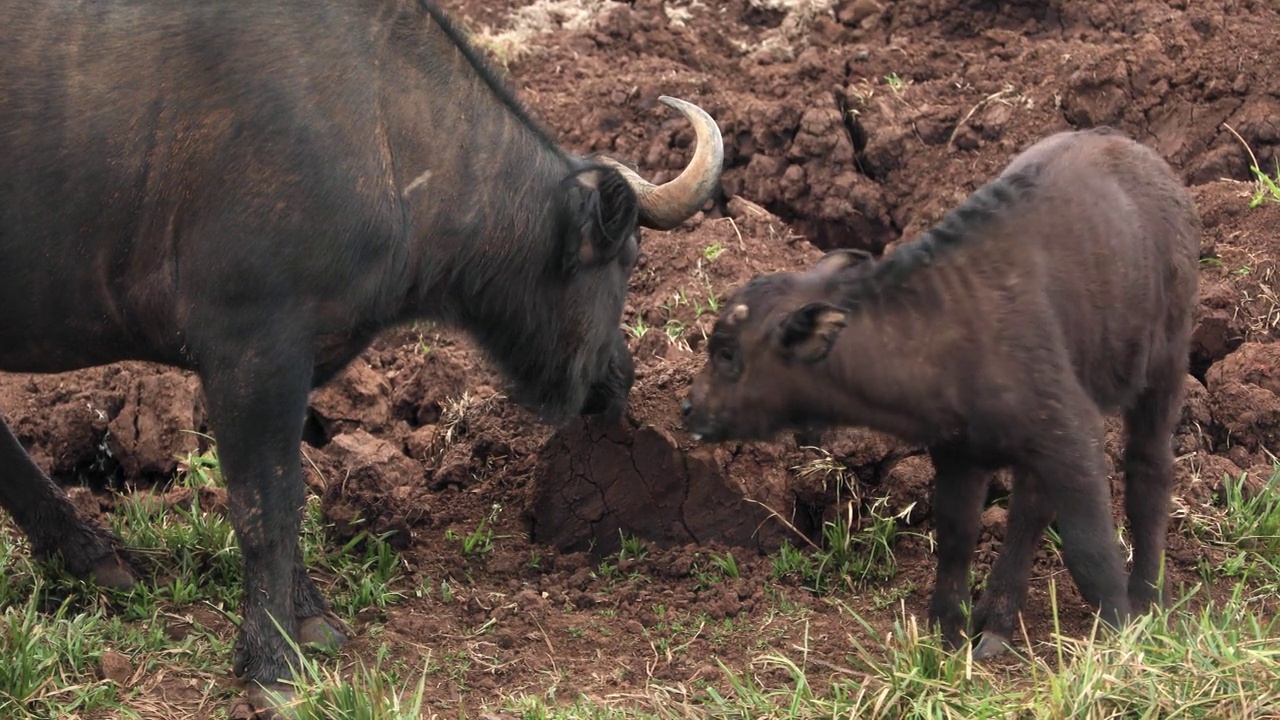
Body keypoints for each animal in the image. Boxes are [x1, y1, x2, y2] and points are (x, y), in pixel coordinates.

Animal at [0, 0, 721, 707]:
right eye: (629, 256)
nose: (620, 377)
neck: (382, 127)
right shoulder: (251, 352)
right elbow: (266, 505)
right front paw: (272, 665)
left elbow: (289, 495)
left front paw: (309, 618)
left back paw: (91, 555)